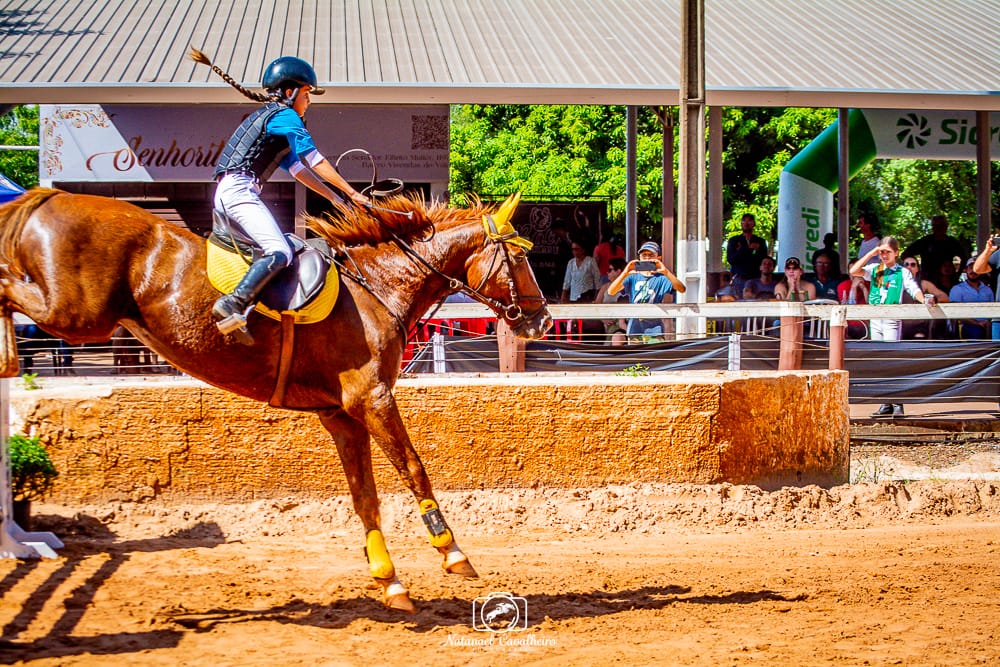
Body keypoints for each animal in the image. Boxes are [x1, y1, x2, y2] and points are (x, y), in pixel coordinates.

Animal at [0, 188, 552, 612]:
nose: (543, 318)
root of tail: (49, 195)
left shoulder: (341, 414)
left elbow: (365, 496)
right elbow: (414, 468)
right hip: (77, 313)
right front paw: (451, 551)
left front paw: (389, 578)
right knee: (9, 290)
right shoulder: (372, 399)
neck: (378, 285)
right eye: (521, 257)